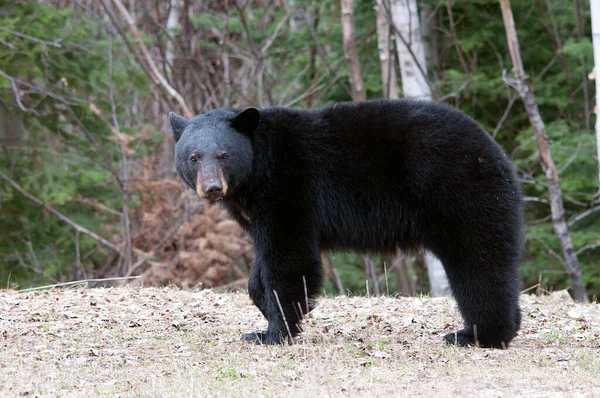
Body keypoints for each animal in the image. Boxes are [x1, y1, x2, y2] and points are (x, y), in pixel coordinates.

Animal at [170, 98, 524, 348]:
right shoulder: (257, 211)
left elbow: (289, 258)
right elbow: (263, 266)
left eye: (224, 155)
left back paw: (477, 335)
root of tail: (496, 151)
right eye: (193, 157)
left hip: (459, 193)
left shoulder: (290, 189)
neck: (255, 176)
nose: (212, 188)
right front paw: (265, 315)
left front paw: (275, 332)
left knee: (478, 261)